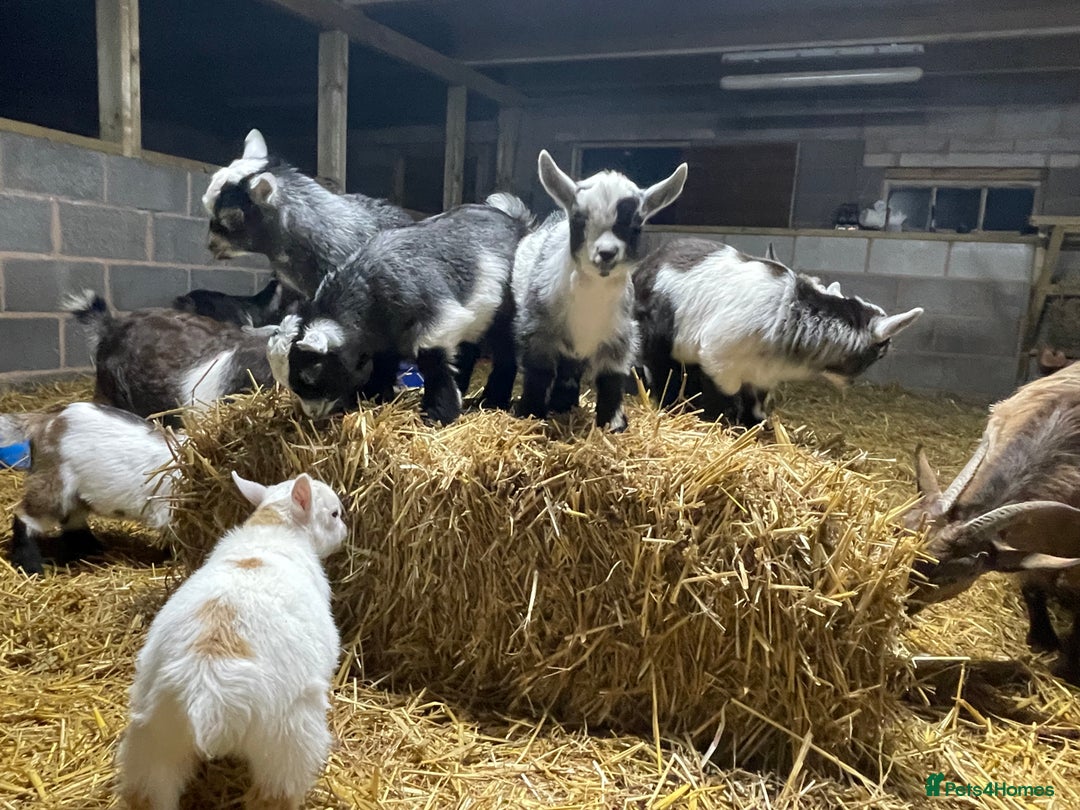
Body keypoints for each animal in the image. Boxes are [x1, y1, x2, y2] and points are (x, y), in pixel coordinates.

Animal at [0, 402, 180, 576]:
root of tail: (47, 420)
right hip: (54, 485)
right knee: (26, 516)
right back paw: (31, 567)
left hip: (75, 494)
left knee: (72, 520)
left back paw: (92, 550)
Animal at [117, 472, 347, 810]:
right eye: (334, 514)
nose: (345, 531)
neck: (273, 527)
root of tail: (207, 696)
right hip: (286, 742)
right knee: (274, 795)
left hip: (154, 740)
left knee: (150, 791)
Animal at [267, 195, 530, 425]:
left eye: (310, 376)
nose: (312, 414)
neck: (370, 289)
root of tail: (516, 221)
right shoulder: (384, 340)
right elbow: (384, 363)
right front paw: (374, 396)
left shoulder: (442, 318)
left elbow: (432, 361)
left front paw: (437, 414)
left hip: (504, 317)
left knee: (505, 355)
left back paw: (493, 400)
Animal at [512, 150, 687, 431]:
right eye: (579, 219)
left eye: (635, 225)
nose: (606, 253)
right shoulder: (538, 331)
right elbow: (539, 373)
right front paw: (531, 413)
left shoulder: (619, 337)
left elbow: (611, 380)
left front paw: (613, 424)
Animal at [633, 238, 922, 424]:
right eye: (880, 353)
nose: (850, 384)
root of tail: (646, 264)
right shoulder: (719, 361)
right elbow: (726, 397)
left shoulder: (763, 375)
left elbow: (756, 403)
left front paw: (756, 425)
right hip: (660, 339)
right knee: (663, 371)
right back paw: (670, 404)